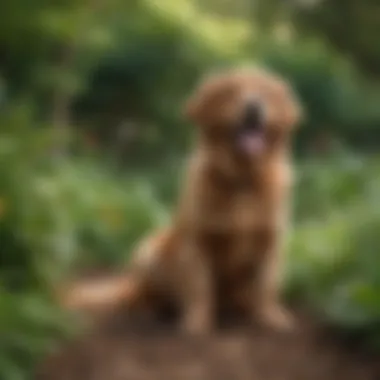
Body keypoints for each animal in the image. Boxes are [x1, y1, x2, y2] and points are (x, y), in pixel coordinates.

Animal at [60, 67, 302, 334]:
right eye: (230, 91)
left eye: (265, 91)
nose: (253, 106)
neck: (242, 179)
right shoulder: (197, 241)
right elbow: (199, 287)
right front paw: (196, 324)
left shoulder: (271, 242)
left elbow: (267, 286)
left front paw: (271, 317)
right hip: (148, 251)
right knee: (140, 297)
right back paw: (153, 311)